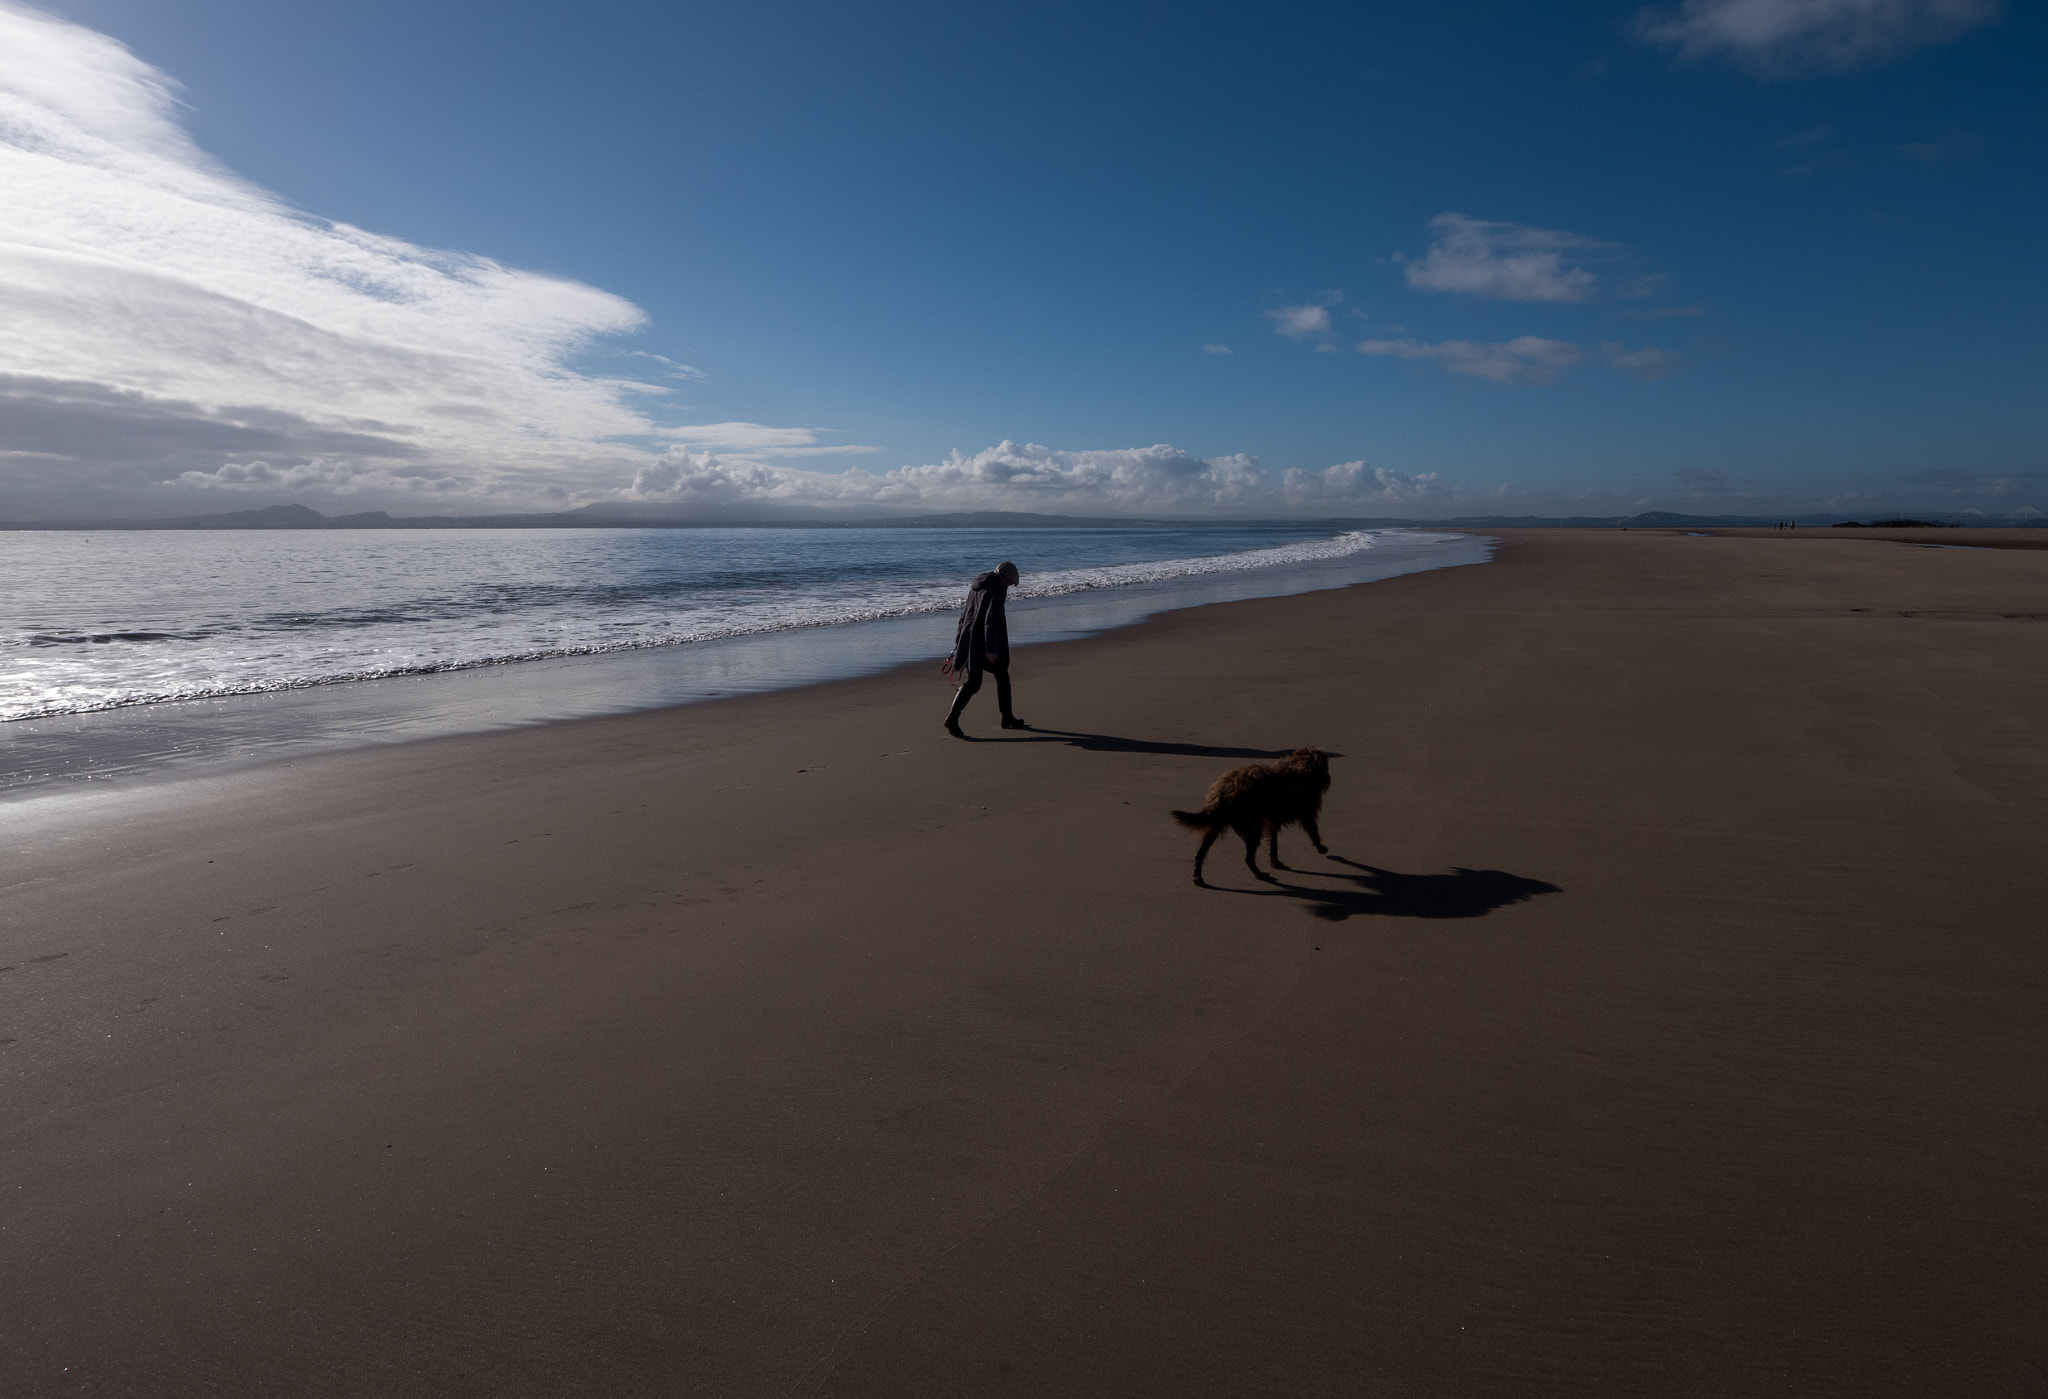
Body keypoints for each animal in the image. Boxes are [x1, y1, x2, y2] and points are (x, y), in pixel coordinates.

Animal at [1179, 745, 1335, 884]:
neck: (1301, 764)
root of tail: (1223, 791)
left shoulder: (1273, 821)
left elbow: (1273, 843)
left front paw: (1275, 861)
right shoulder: (1306, 814)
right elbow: (1313, 831)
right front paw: (1321, 847)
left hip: (1216, 825)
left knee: (1201, 853)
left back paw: (1198, 877)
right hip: (1253, 828)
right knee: (1248, 858)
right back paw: (1260, 874)